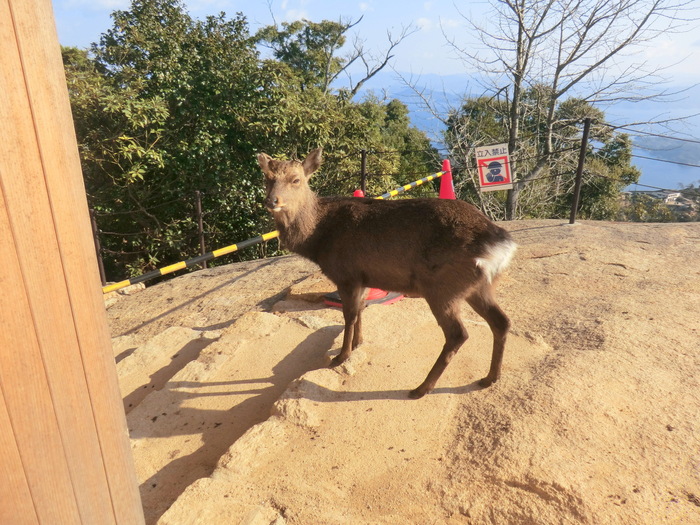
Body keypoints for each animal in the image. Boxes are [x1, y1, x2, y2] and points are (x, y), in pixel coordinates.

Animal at [258, 147, 516, 398]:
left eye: (296, 180)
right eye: (267, 178)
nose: (272, 201)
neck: (318, 238)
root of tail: (500, 244)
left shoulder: (346, 274)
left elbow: (349, 315)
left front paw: (341, 356)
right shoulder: (363, 278)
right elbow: (360, 310)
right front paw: (358, 343)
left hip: (442, 287)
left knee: (458, 334)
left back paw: (421, 388)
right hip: (480, 286)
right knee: (501, 321)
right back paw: (490, 378)